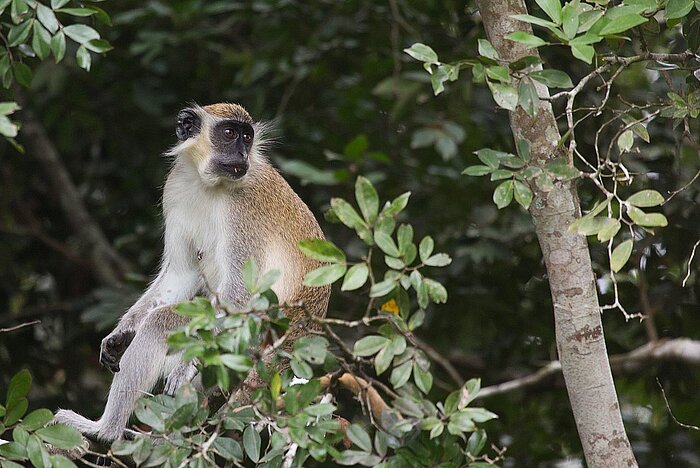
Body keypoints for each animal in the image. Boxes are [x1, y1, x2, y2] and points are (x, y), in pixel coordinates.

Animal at [53, 103, 332, 442]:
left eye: (247, 137)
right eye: (229, 133)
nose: (241, 155)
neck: (207, 183)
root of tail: (299, 337)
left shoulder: (245, 206)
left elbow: (239, 294)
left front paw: (184, 367)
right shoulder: (175, 186)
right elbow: (182, 274)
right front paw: (120, 334)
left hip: (254, 338)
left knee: (159, 324)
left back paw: (105, 430)